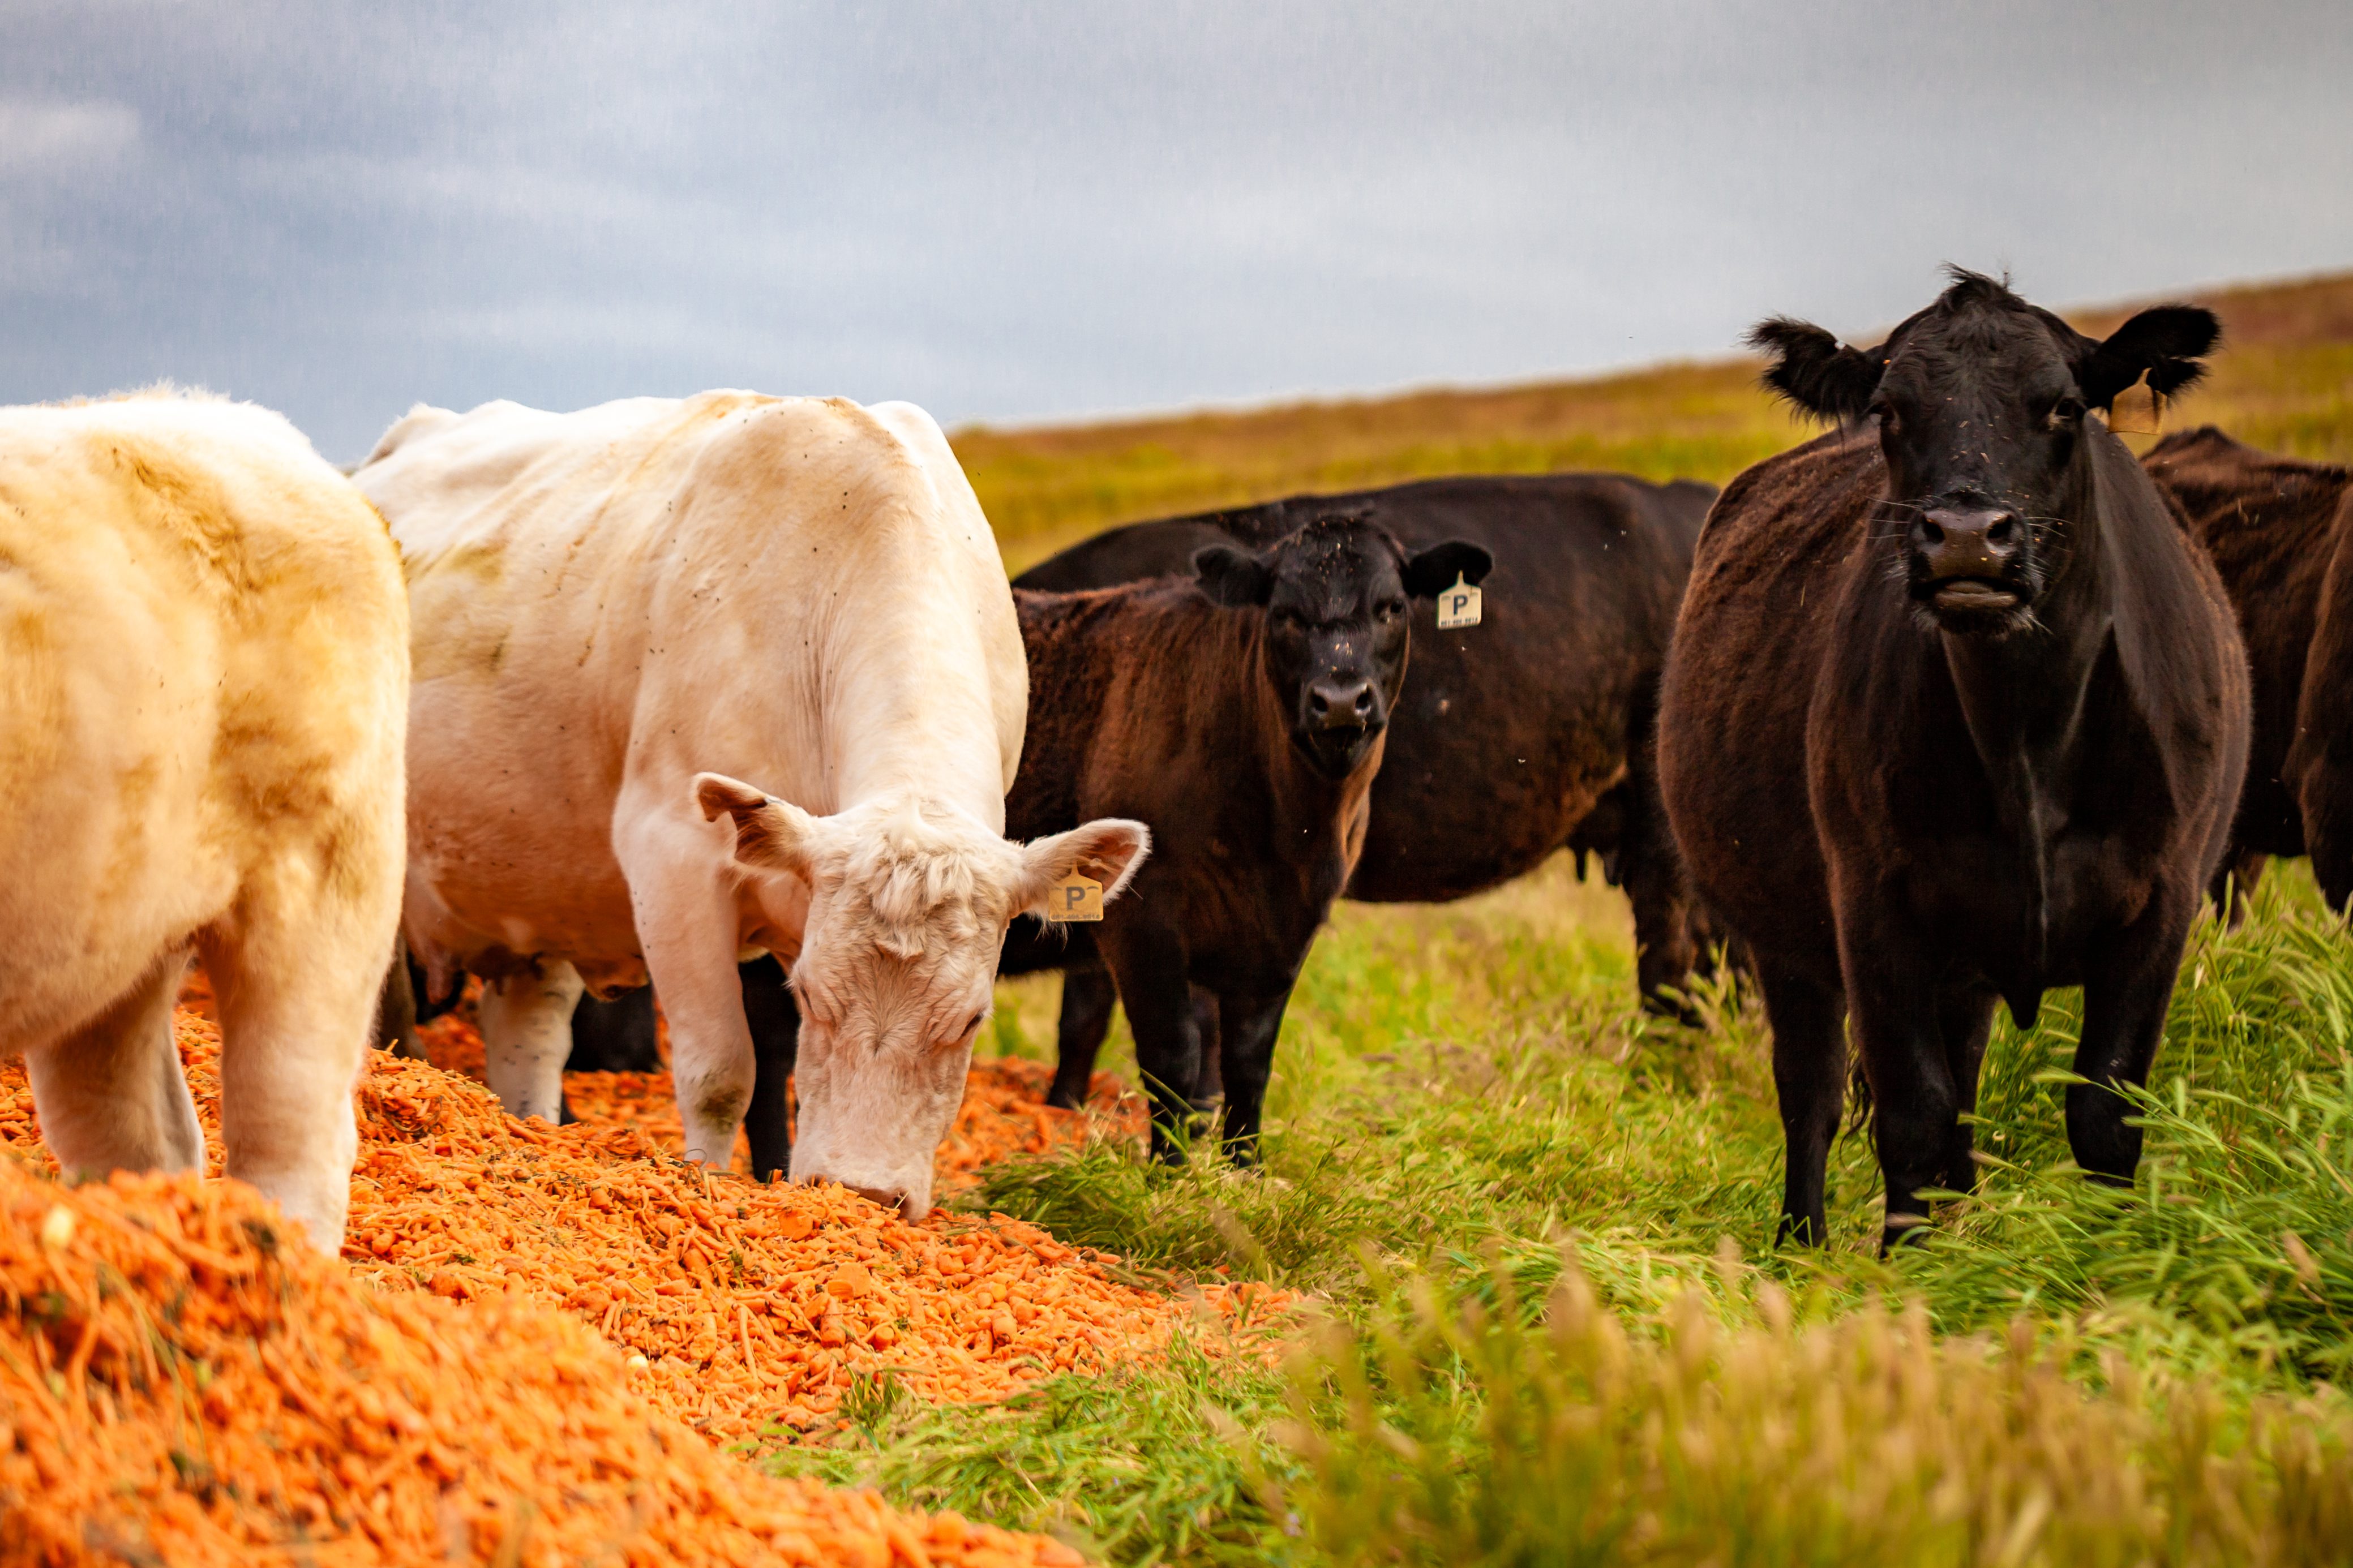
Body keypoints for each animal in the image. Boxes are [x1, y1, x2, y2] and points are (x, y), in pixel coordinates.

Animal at [352, 392, 1149, 1219]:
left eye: (968, 1021)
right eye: (816, 1000)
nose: (867, 1194)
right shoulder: (673, 859)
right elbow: (719, 1071)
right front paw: (702, 1185)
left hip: (533, 903)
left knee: (529, 1037)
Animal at [1011, 472, 1715, 1106]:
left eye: (1391, 608)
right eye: (1284, 615)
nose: (1342, 700)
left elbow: (1110, 1023)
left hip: (1661, 833)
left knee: (1669, 970)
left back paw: (1663, 1085)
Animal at [1657, 270, 2249, 1252]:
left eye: (2063, 405)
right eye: (1889, 409)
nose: (1968, 536)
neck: (2024, 737)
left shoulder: (2160, 905)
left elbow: (2102, 1114)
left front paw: (2111, 1261)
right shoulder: (1872, 908)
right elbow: (1913, 1119)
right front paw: (1913, 1269)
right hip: (1788, 939)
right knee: (1812, 1092)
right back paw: (1799, 1244)